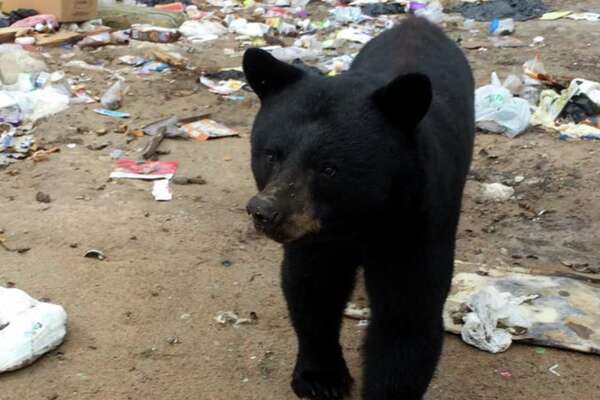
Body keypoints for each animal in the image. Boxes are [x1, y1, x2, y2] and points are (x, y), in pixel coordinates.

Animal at [243, 15, 474, 400]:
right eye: (271, 154)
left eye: (329, 168)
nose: (265, 212)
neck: (357, 217)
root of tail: (417, 21)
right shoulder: (316, 235)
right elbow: (312, 288)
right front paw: (320, 378)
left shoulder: (416, 220)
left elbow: (407, 315)